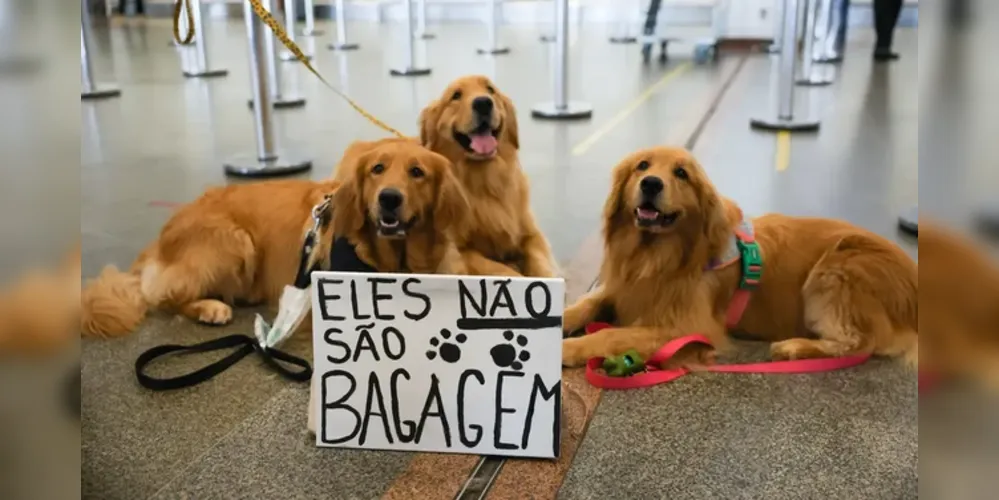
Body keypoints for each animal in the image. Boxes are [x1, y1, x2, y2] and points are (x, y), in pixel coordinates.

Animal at [82, 139, 468, 338]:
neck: (396, 260)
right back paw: (210, 308)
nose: (389, 198)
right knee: (165, 297)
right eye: (377, 169)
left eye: (417, 172)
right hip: (234, 241)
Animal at [414, 75, 556, 278]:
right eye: (456, 95)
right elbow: (500, 269)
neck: (485, 181)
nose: (483, 103)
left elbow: (540, 262)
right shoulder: (458, 251)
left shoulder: (531, 234)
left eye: (490, 90)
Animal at [560, 146, 916, 370]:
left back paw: (794, 347)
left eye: (681, 173)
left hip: (837, 267)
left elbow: (611, 333)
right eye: (642, 166)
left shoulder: (688, 326)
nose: (650, 183)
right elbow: (586, 304)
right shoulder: (622, 288)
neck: (655, 255)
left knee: (859, 342)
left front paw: (568, 348)